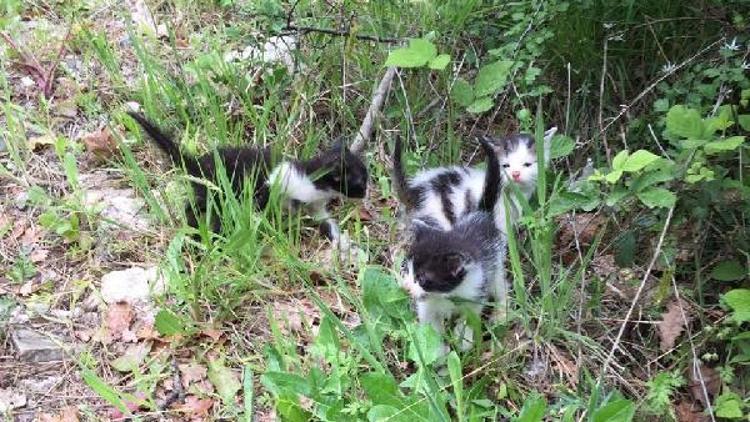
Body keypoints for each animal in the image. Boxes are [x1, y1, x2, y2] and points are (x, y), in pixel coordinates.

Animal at [128, 110, 368, 239]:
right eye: (360, 182)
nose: (366, 193)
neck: (313, 181)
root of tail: (199, 162)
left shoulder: (315, 206)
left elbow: (324, 220)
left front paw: (339, 238)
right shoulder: (274, 186)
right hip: (218, 191)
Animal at [396, 136, 508, 352]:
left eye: (422, 279)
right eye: (406, 268)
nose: (406, 288)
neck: (445, 296)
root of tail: (480, 213)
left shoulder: (475, 290)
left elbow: (470, 317)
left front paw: (463, 340)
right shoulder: (427, 307)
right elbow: (431, 329)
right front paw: (437, 353)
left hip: (496, 262)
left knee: (501, 285)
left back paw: (502, 312)